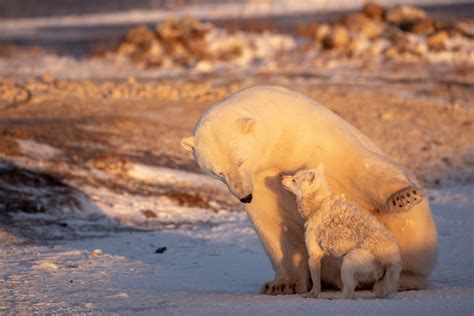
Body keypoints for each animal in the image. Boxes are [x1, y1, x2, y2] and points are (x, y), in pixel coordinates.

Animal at [282, 164, 404, 300]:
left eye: (294, 180)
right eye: (293, 176)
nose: (281, 176)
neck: (318, 205)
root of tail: (393, 258)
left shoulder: (314, 255)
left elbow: (316, 283)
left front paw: (312, 295)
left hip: (347, 263)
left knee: (348, 294)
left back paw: (334, 298)